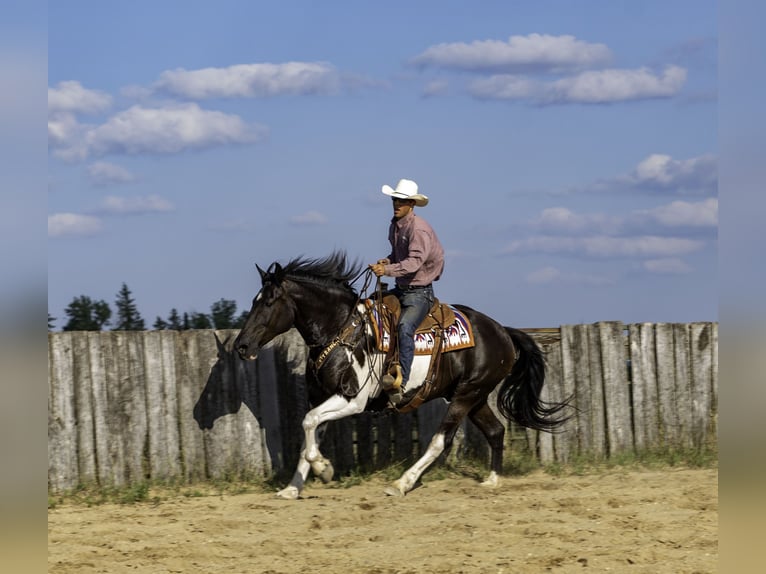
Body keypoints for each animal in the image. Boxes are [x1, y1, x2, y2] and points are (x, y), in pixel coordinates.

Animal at [234, 252, 568, 500]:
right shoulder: (322, 398)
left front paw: (323, 468)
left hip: (466, 395)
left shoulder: (352, 400)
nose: (242, 346)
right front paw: (293, 487)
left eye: (268, 301)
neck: (342, 330)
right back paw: (492, 480)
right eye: (253, 301)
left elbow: (308, 422)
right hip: (474, 396)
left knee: (440, 441)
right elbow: (309, 433)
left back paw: (402, 483)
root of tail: (503, 333)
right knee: (496, 431)